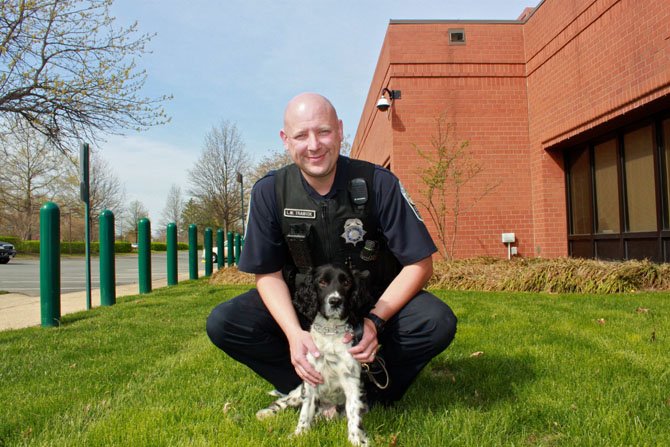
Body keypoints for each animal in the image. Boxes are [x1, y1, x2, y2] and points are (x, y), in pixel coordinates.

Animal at [256, 264, 376, 446]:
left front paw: (358, 440)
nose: (335, 301)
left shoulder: (352, 382)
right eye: (322, 282)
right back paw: (265, 413)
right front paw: (299, 434)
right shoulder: (310, 380)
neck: (330, 332)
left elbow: (354, 414)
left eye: (347, 283)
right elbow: (305, 413)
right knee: (283, 401)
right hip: (298, 393)